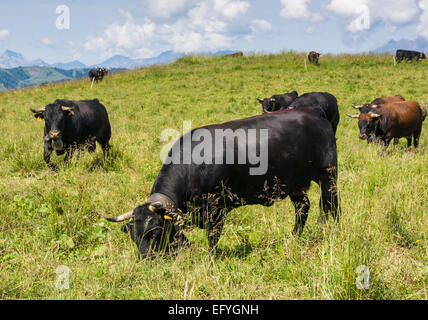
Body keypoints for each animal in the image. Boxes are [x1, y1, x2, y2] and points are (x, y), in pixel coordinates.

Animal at [108, 107, 342, 258]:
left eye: (155, 231)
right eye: (134, 236)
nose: (146, 259)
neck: (193, 163)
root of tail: (315, 113)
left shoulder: (217, 207)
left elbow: (213, 236)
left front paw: (211, 258)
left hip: (328, 175)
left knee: (333, 205)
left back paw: (335, 231)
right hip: (294, 184)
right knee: (303, 208)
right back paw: (293, 236)